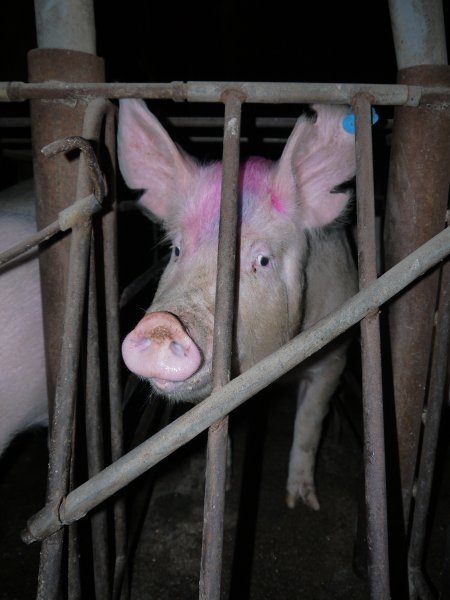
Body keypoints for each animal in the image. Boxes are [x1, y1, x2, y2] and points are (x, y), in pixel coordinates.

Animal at [118, 96, 356, 508]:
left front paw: (301, 503)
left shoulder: (334, 356)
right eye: (176, 250)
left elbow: (309, 425)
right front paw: (220, 488)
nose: (162, 325)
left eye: (261, 260)